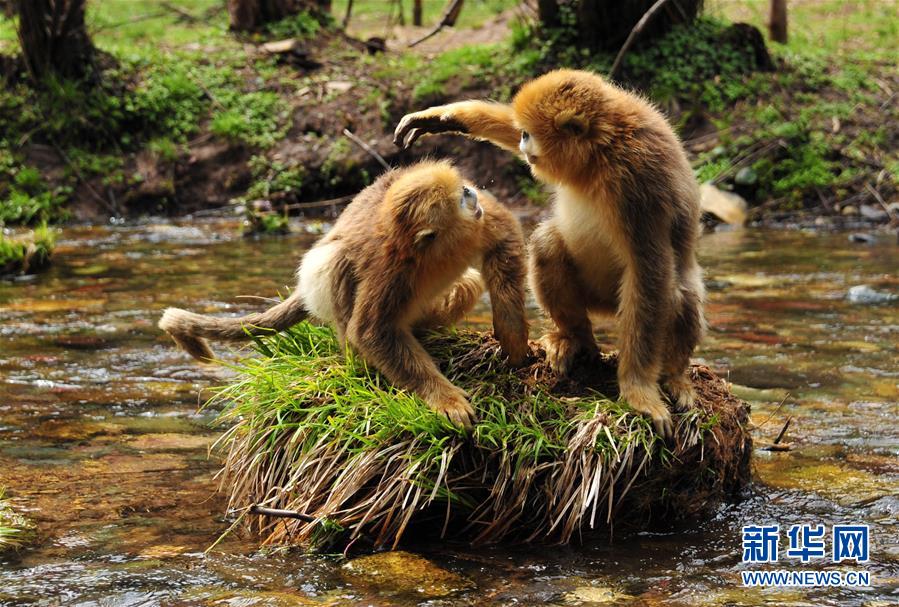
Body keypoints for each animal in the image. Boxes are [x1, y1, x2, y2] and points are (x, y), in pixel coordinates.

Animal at [159, 162, 532, 428]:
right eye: (460, 197)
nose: (471, 192)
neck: (431, 253)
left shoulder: (475, 228)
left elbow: (504, 238)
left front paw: (512, 337)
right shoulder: (390, 271)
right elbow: (371, 331)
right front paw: (445, 399)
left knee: (466, 285)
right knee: (335, 261)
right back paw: (356, 361)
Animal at [398, 69, 708, 434]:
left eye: (528, 135)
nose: (523, 142)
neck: (602, 151)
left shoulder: (638, 181)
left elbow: (649, 269)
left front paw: (639, 391)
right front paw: (445, 116)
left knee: (677, 292)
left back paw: (675, 377)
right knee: (548, 243)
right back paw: (575, 339)